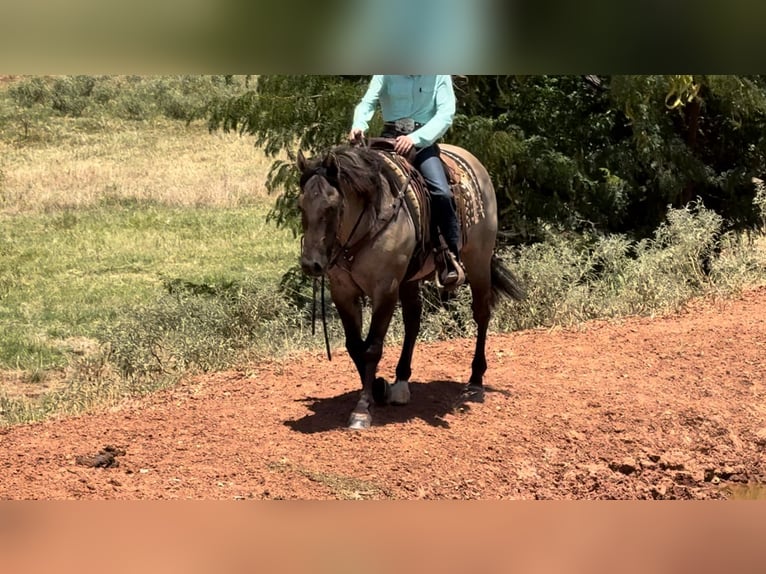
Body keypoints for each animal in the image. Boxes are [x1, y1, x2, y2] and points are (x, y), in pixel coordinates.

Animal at [296, 140, 524, 430]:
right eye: (301, 206)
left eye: (332, 206)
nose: (311, 264)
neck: (370, 221)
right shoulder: (343, 292)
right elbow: (355, 346)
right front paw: (379, 388)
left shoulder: (386, 289)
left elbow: (372, 348)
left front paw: (362, 409)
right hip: (411, 279)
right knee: (413, 322)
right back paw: (401, 383)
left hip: (478, 261)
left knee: (481, 314)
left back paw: (475, 382)